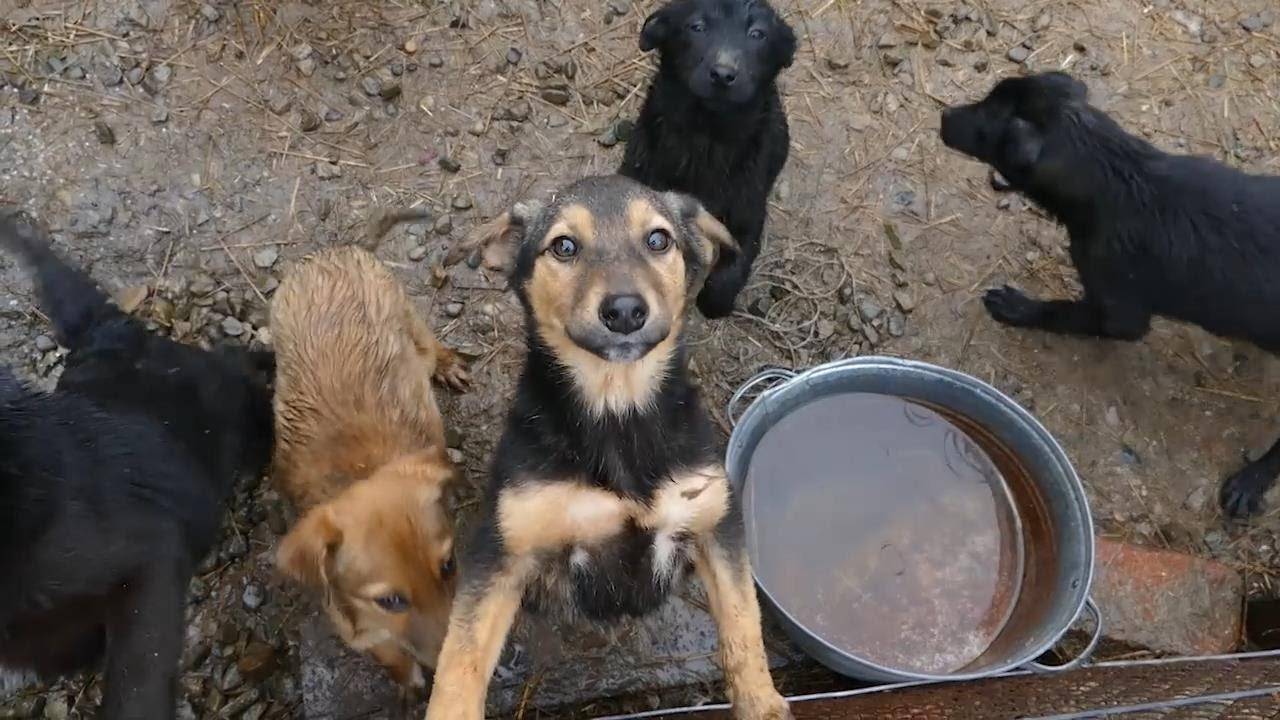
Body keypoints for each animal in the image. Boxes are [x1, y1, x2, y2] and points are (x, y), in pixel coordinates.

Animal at [272, 245, 468, 691]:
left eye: (448, 565)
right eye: (390, 600)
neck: (361, 471)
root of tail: (329, 253)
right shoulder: (357, 628)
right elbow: (391, 656)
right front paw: (408, 682)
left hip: (408, 322)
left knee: (429, 345)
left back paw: (447, 364)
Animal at [616, 0, 788, 316]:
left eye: (758, 34)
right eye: (697, 27)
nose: (723, 74)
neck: (707, 136)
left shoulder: (748, 211)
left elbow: (733, 266)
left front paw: (714, 301)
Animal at [936, 73, 1280, 517]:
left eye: (985, 125)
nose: (944, 115)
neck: (1114, 174)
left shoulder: (1119, 310)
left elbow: (1065, 312)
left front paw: (1019, 307)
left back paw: (1250, 481)